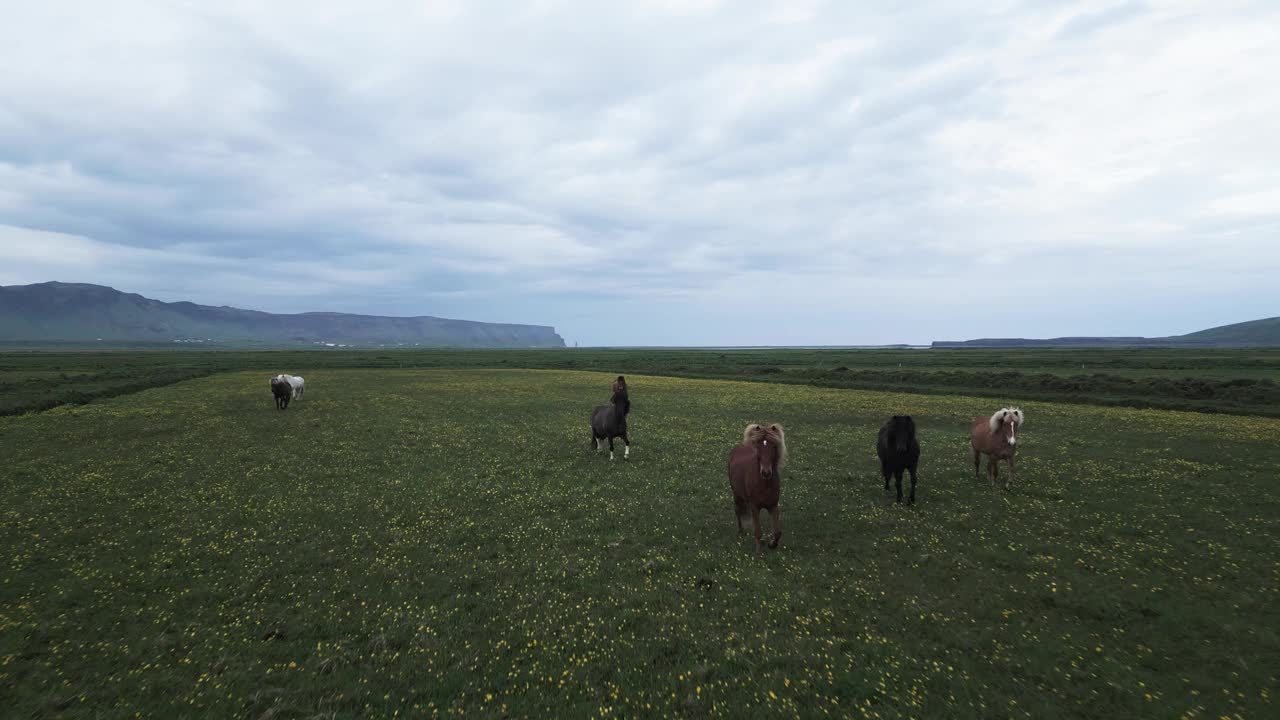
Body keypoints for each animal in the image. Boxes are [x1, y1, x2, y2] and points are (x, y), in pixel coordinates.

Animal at [727, 420, 783, 556]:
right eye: (759, 447)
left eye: (773, 447)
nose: (766, 472)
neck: (764, 484)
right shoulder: (755, 507)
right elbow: (758, 532)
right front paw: (759, 553)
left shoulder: (773, 506)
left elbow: (777, 532)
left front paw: (771, 545)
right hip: (736, 495)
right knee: (738, 511)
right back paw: (740, 531)